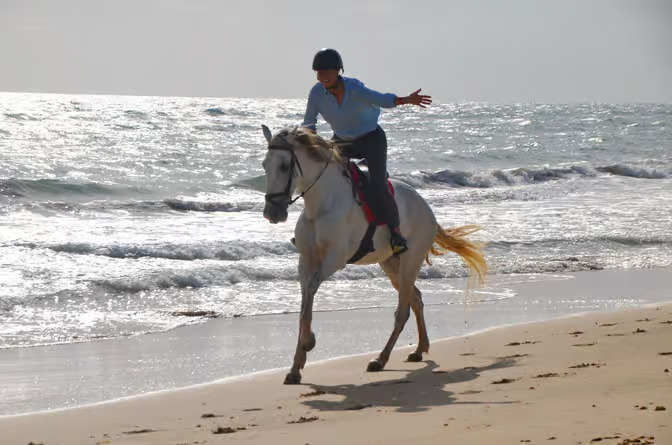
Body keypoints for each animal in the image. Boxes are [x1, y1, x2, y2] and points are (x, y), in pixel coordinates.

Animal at [261, 125, 487, 385]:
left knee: (403, 311)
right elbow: (304, 304)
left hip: (410, 262)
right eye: (264, 165)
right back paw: (419, 349)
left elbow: (310, 292)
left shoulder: (335, 259)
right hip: (390, 264)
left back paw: (381, 359)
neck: (320, 206)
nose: (272, 213)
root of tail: (427, 209)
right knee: (416, 299)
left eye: (284, 166)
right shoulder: (306, 260)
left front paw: (308, 343)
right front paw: (296, 368)